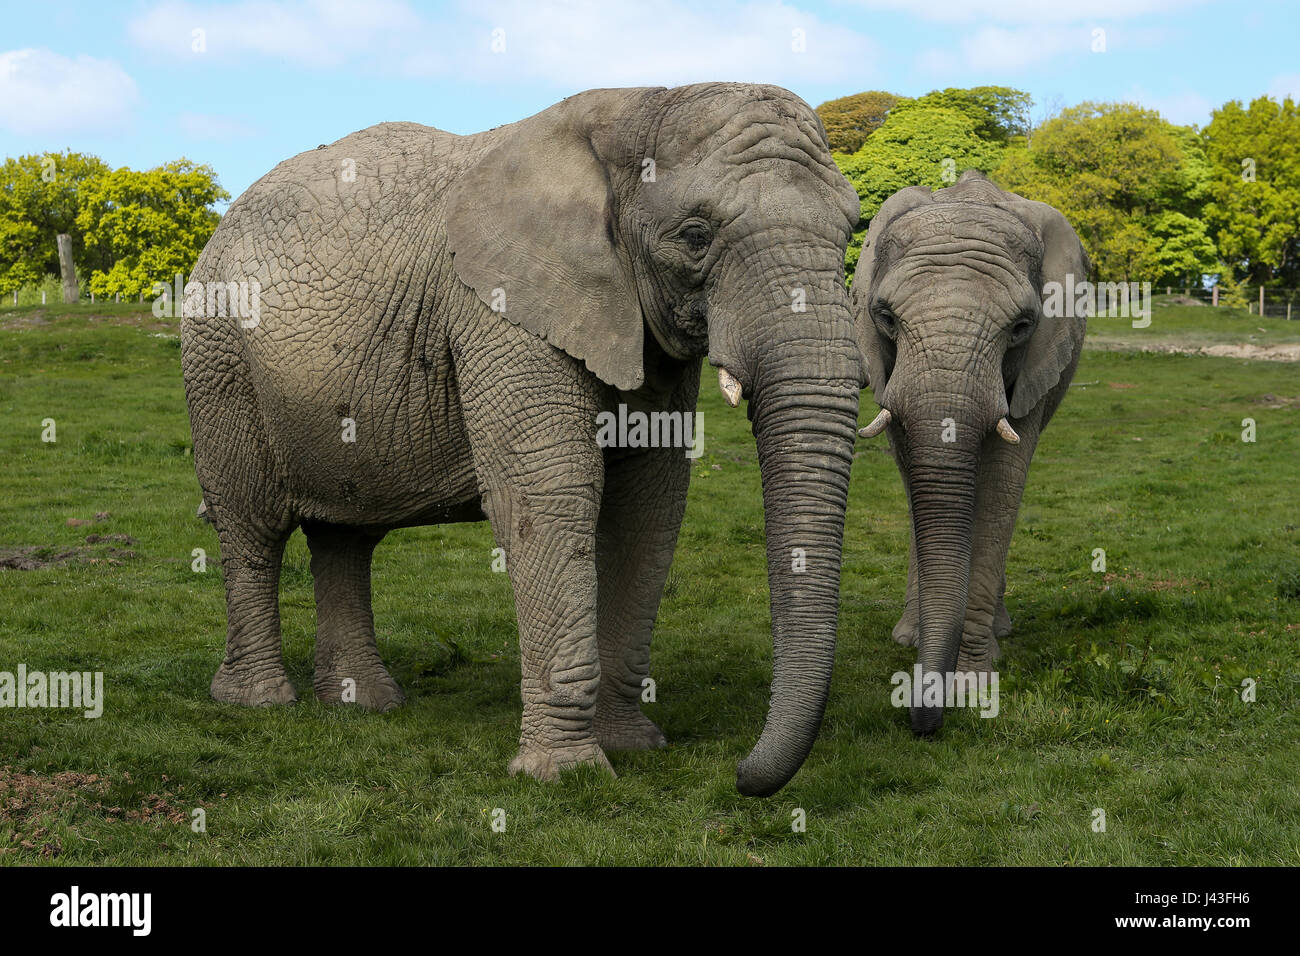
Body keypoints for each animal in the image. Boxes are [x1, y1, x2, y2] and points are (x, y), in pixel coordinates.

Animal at [180, 83, 863, 796]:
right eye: (696, 236)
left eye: (853, 230)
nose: (740, 774)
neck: (640, 102)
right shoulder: (502, 311)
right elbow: (551, 496)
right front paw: (567, 776)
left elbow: (649, 504)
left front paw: (634, 747)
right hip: (219, 355)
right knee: (251, 523)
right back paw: (260, 702)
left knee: (346, 532)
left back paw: (363, 704)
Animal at [850, 171, 1088, 734]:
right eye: (885, 318)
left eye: (1022, 326)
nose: (920, 719)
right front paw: (919, 647)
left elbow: (1002, 482)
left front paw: (969, 684)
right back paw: (912, 635)